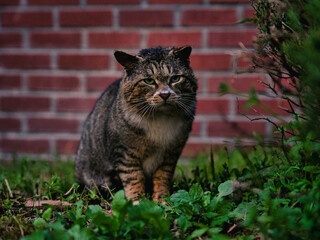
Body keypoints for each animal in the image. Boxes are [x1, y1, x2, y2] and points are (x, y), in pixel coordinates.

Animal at [75, 46, 198, 203]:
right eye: (149, 80)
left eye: (175, 78)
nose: (165, 94)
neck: (160, 118)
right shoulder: (125, 152)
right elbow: (133, 177)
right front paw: (137, 201)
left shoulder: (172, 153)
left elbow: (162, 177)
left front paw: (162, 200)